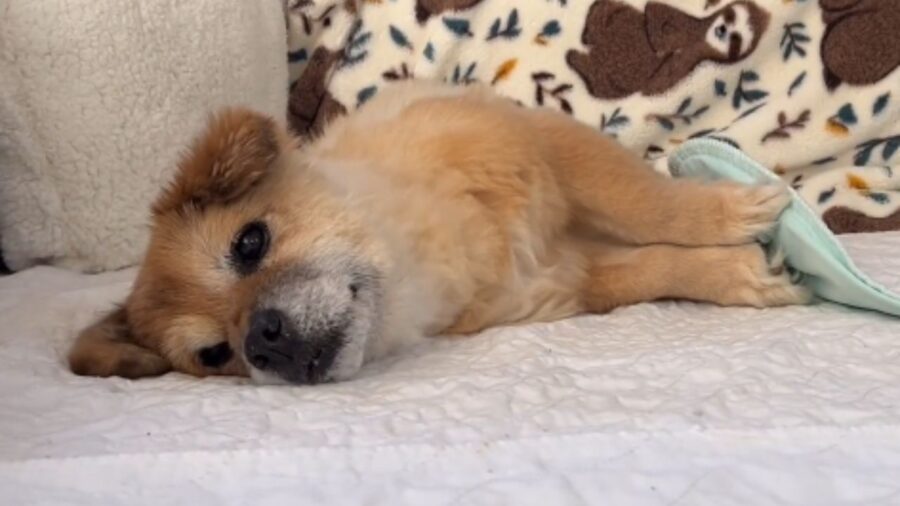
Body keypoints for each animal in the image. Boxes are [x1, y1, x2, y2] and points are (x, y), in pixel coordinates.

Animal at [68, 81, 808, 386]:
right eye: (216, 354)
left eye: (249, 243)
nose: (262, 342)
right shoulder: (568, 276)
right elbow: (653, 266)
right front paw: (737, 272)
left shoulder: (547, 146)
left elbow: (646, 201)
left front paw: (728, 213)